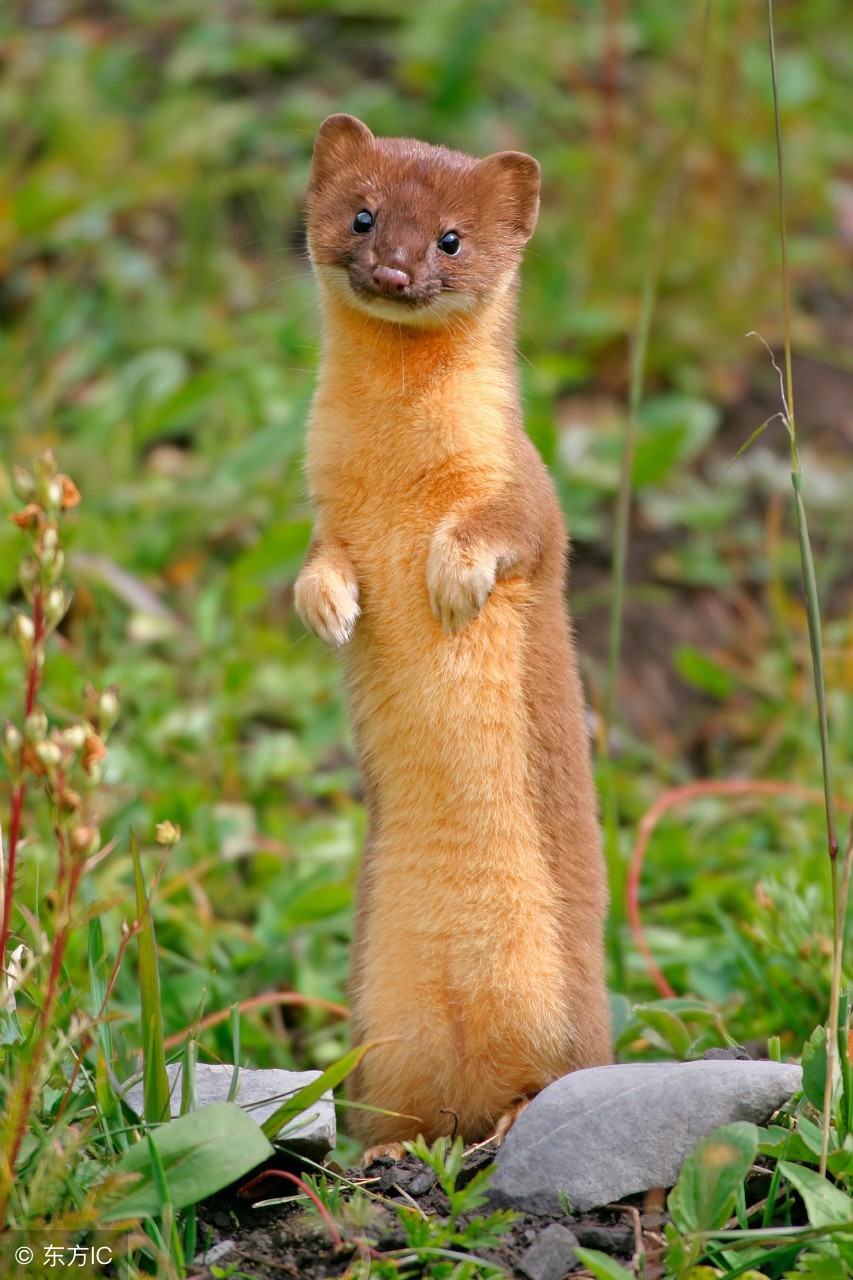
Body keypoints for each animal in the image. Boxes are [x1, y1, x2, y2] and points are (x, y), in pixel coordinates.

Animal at [295, 115, 607, 1162]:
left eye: (451, 240)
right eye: (362, 216)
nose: (393, 271)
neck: (396, 476)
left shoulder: (521, 481)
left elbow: (512, 531)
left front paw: (454, 578)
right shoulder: (322, 508)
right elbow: (318, 561)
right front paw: (330, 608)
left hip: (567, 1015)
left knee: (548, 1083)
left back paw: (510, 1124)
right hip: (379, 1026)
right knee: (398, 1108)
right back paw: (392, 1149)